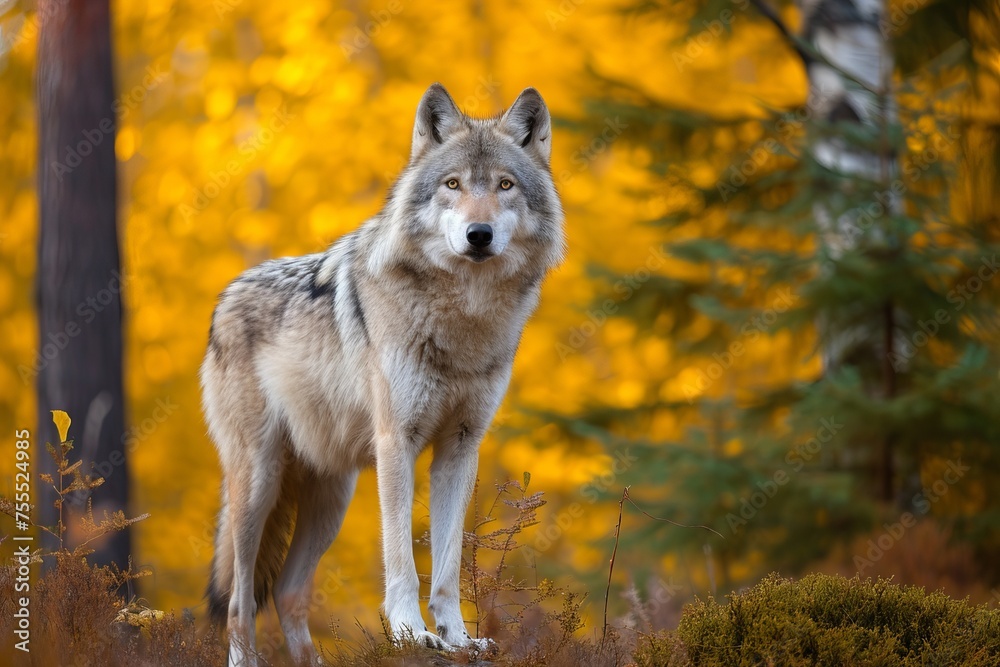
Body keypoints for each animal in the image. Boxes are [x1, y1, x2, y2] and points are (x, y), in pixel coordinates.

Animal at [201, 83, 564, 666]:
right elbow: (401, 562)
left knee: (288, 591)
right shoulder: (398, 443)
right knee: (238, 600)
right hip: (258, 485)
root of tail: (225, 297)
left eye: (504, 185)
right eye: (453, 184)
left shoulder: (461, 448)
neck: (463, 318)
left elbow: (446, 567)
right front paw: (410, 634)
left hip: (332, 498)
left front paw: (456, 640)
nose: (478, 234)